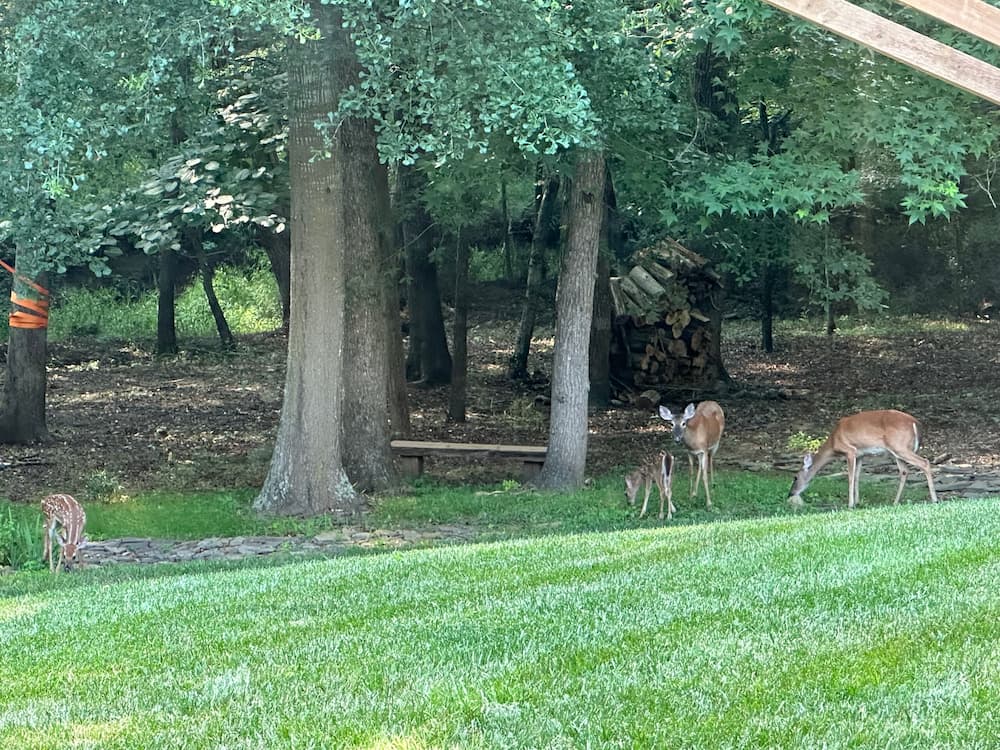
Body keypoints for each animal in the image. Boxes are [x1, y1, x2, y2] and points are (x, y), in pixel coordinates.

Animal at [788, 412, 936, 512]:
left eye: (795, 477)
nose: (790, 494)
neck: (833, 443)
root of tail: (916, 423)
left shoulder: (850, 450)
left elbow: (850, 477)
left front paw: (850, 504)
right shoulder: (861, 454)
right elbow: (857, 477)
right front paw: (857, 502)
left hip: (900, 447)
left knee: (924, 462)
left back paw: (934, 499)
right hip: (898, 451)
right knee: (904, 471)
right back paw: (895, 502)